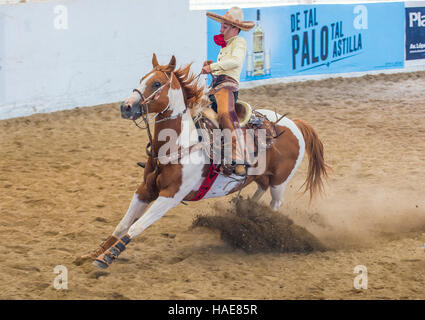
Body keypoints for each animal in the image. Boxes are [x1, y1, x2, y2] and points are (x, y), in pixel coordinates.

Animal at [83, 53, 328, 268]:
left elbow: (136, 228)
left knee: (275, 203)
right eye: (142, 79)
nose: (125, 107)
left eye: (156, 84)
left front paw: (108, 257)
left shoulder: (170, 196)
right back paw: (245, 210)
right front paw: (94, 253)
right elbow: (122, 225)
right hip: (261, 177)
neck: (178, 144)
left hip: (280, 182)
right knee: (260, 190)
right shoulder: (145, 189)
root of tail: (293, 123)